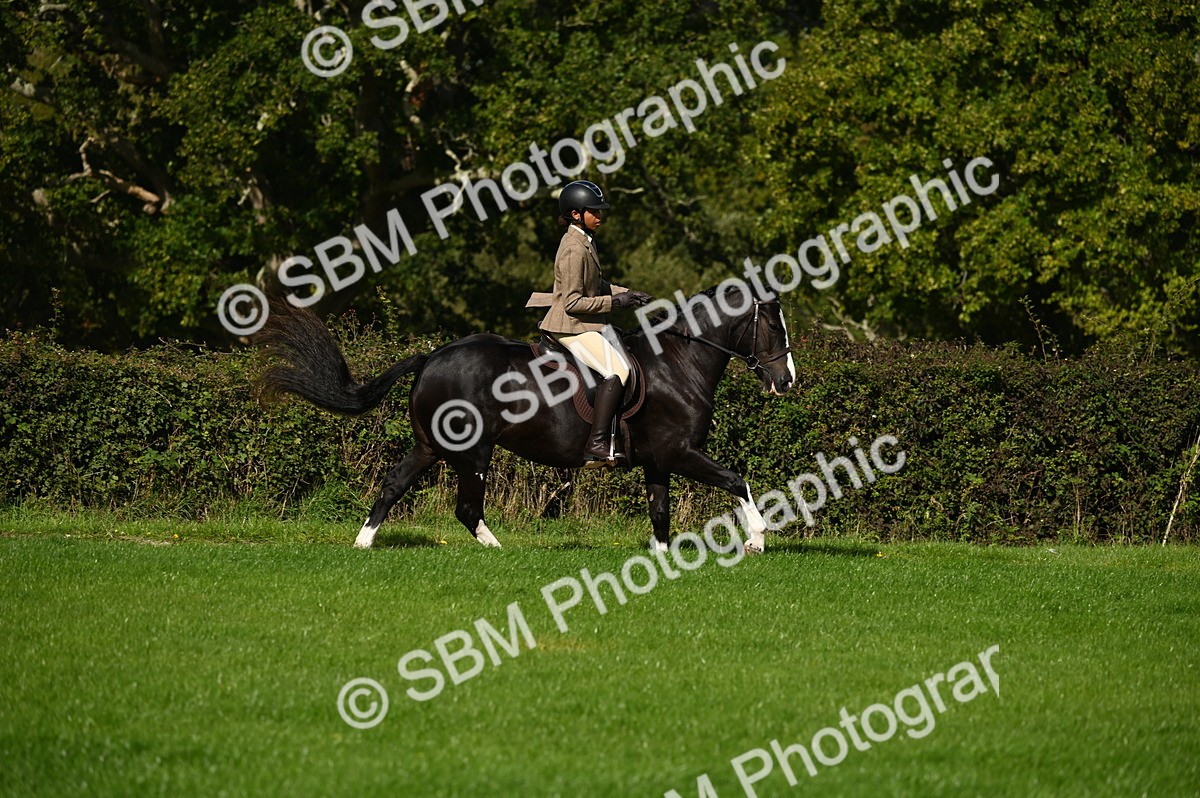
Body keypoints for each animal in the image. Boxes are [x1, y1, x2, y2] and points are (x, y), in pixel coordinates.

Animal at [255, 281, 796, 553]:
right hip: (473, 449)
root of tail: (431, 357)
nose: (787, 380)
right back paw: (499, 550)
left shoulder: (658, 462)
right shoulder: (680, 452)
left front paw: (662, 560)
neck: (678, 363)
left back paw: (363, 543)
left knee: (394, 484)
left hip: (431, 445)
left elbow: (660, 514)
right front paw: (757, 538)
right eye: (773, 326)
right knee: (466, 507)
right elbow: (736, 480)